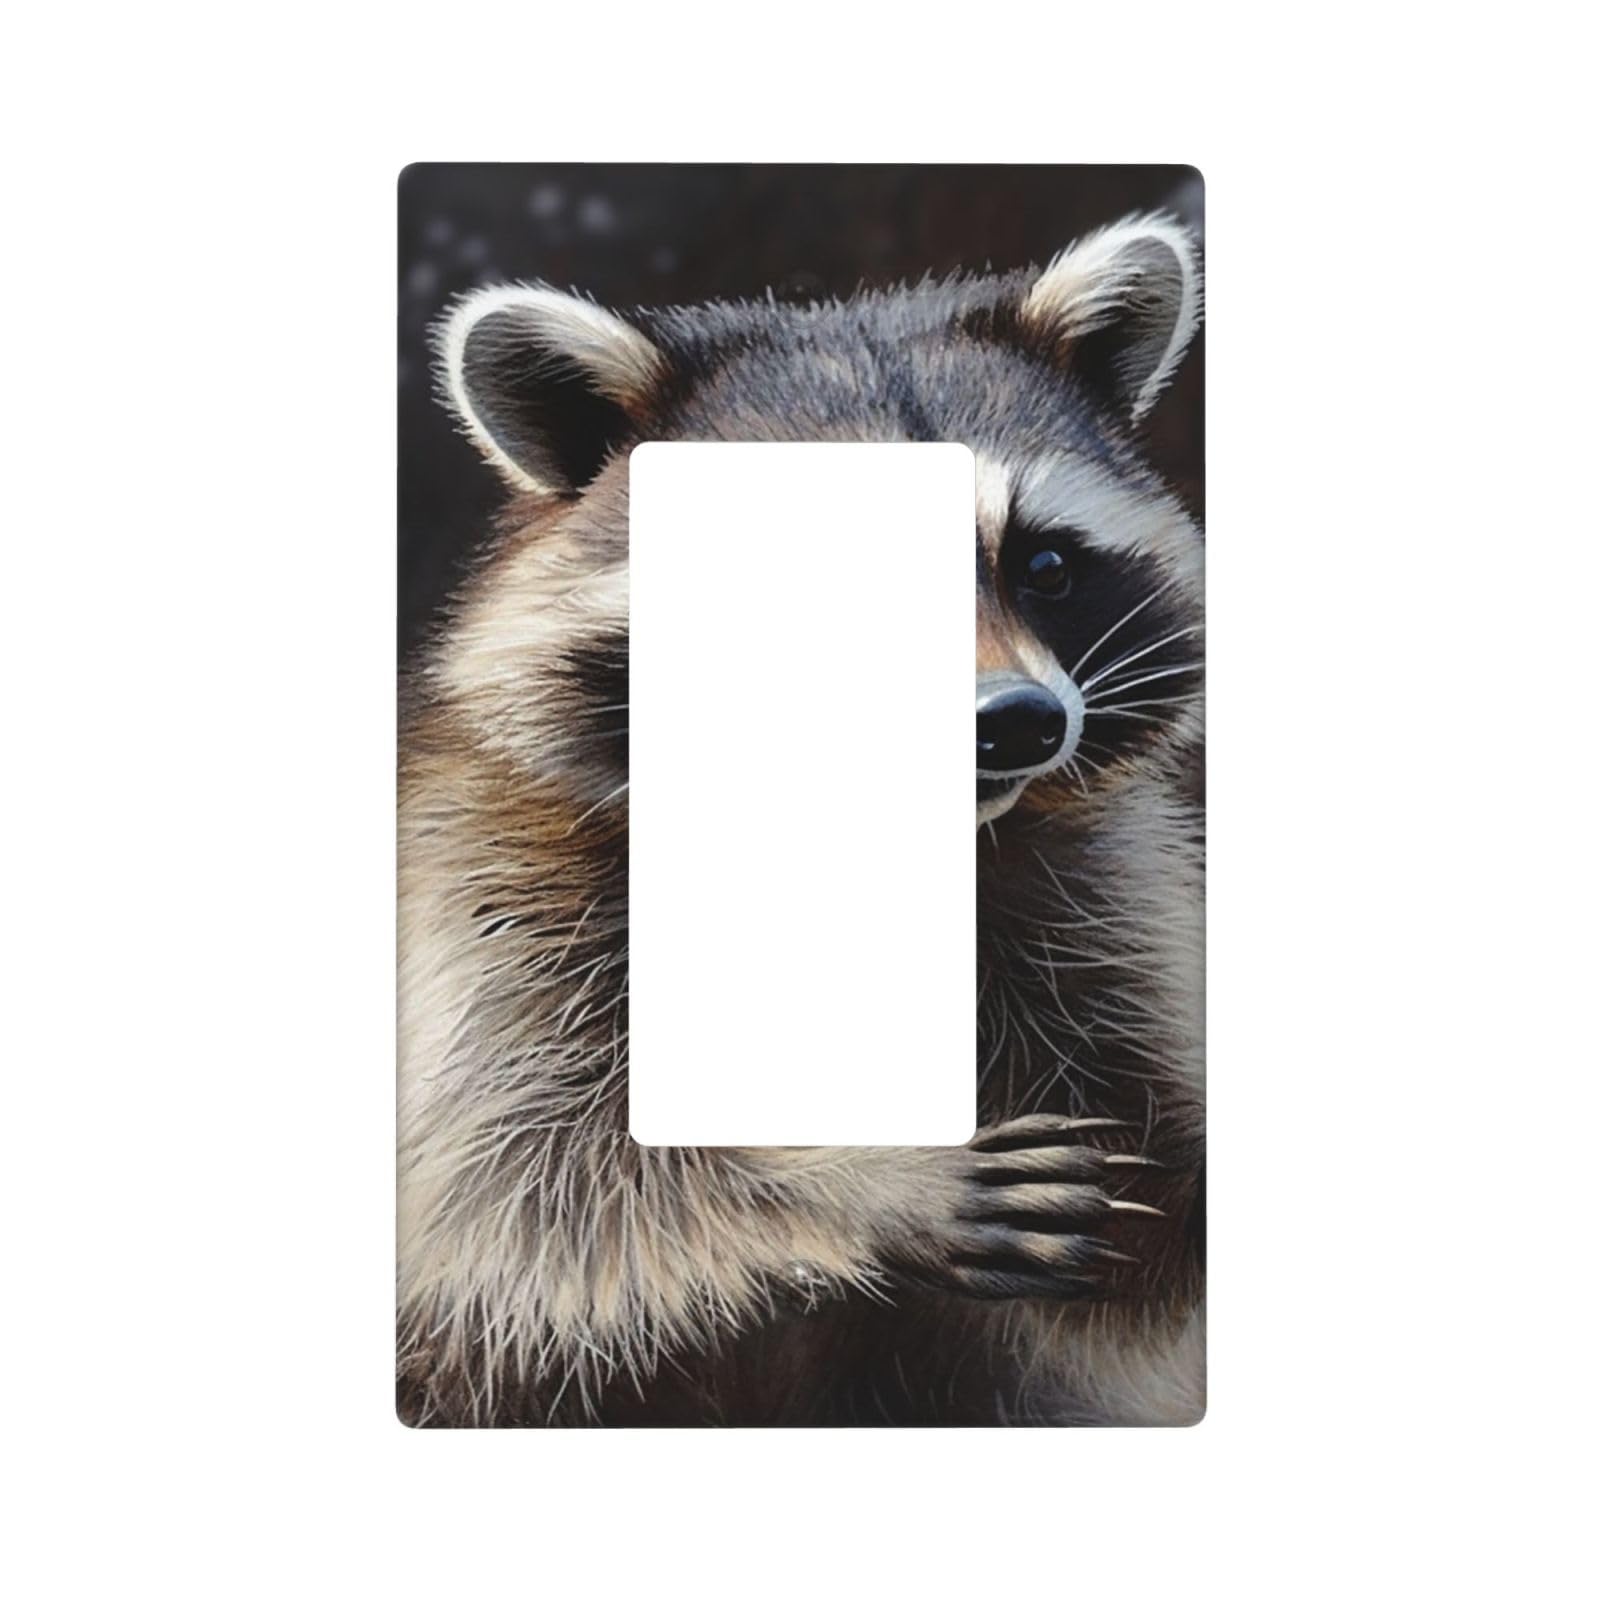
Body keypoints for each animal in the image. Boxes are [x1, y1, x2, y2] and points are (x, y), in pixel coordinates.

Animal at [398, 213, 1204, 1426]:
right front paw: (851, 1181)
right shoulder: (498, 897)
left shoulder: (1103, 900)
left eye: (1047, 564)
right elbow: (514, 1200)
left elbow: (1161, 1240)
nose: (1016, 722)